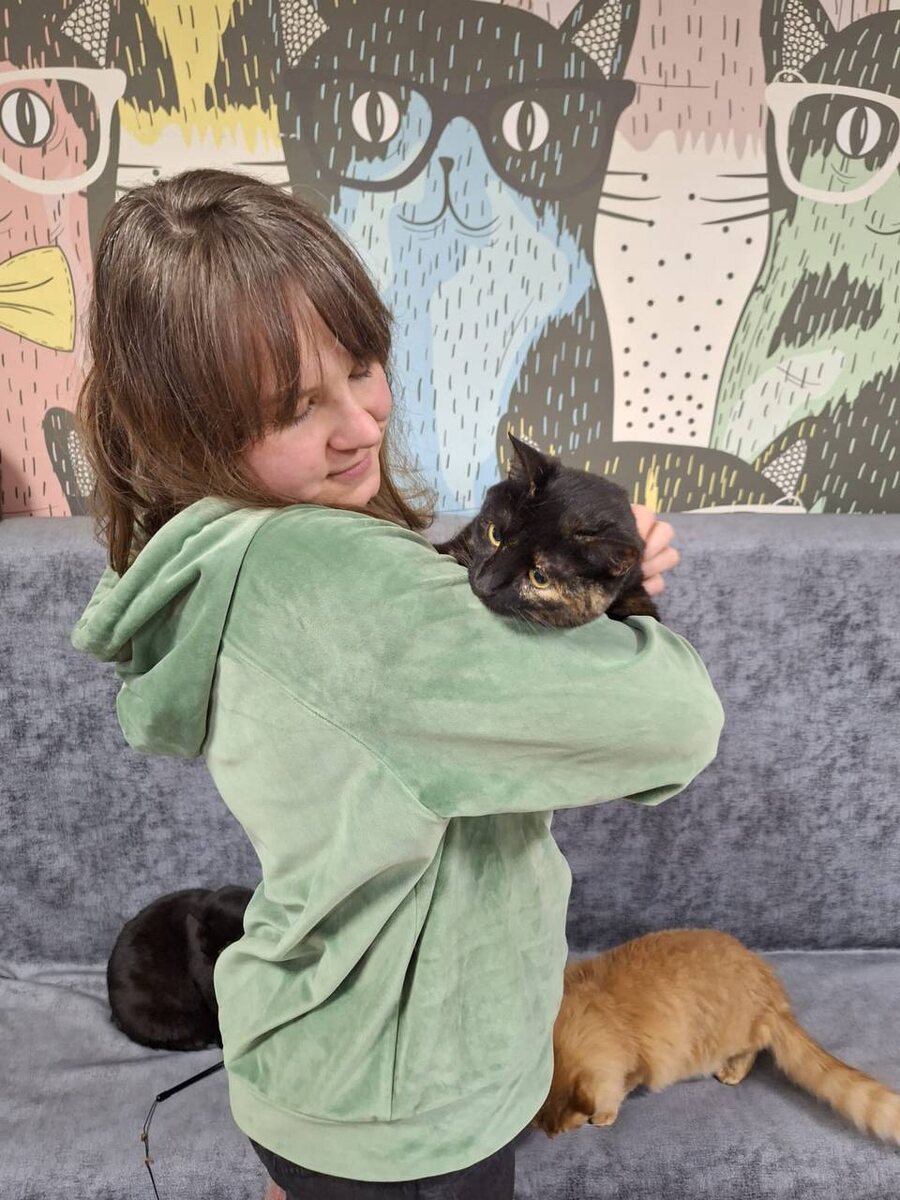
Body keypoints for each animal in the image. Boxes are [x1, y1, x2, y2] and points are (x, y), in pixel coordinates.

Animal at [533, 927, 900, 1146]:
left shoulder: (636, 1066)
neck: (595, 1010)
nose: (549, 1136)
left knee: (752, 1052)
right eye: (538, 1123)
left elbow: (620, 1090)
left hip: (737, 1038)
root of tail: (772, 993)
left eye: (561, 1129)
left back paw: (731, 1073)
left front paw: (604, 1117)